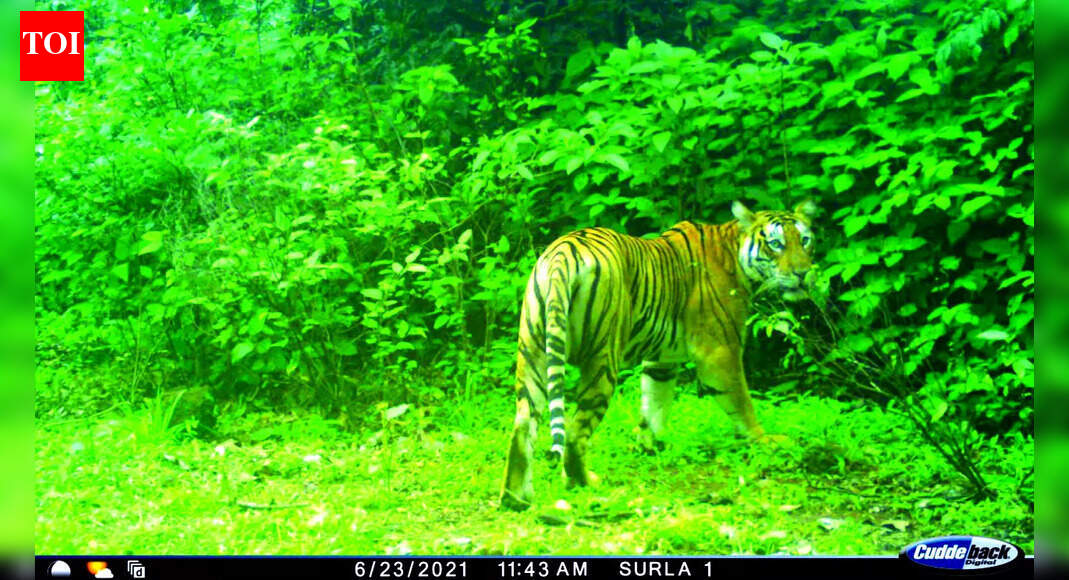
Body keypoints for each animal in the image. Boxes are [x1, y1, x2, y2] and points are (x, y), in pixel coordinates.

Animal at [500, 200, 818, 511]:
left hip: (533, 352)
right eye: (775, 243)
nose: (803, 273)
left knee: (523, 426)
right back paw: (584, 484)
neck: (734, 253)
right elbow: (742, 403)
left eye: (804, 240)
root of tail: (562, 253)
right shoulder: (719, 351)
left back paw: (516, 499)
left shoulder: (661, 359)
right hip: (602, 359)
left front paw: (647, 444)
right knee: (576, 434)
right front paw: (765, 440)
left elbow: (654, 402)